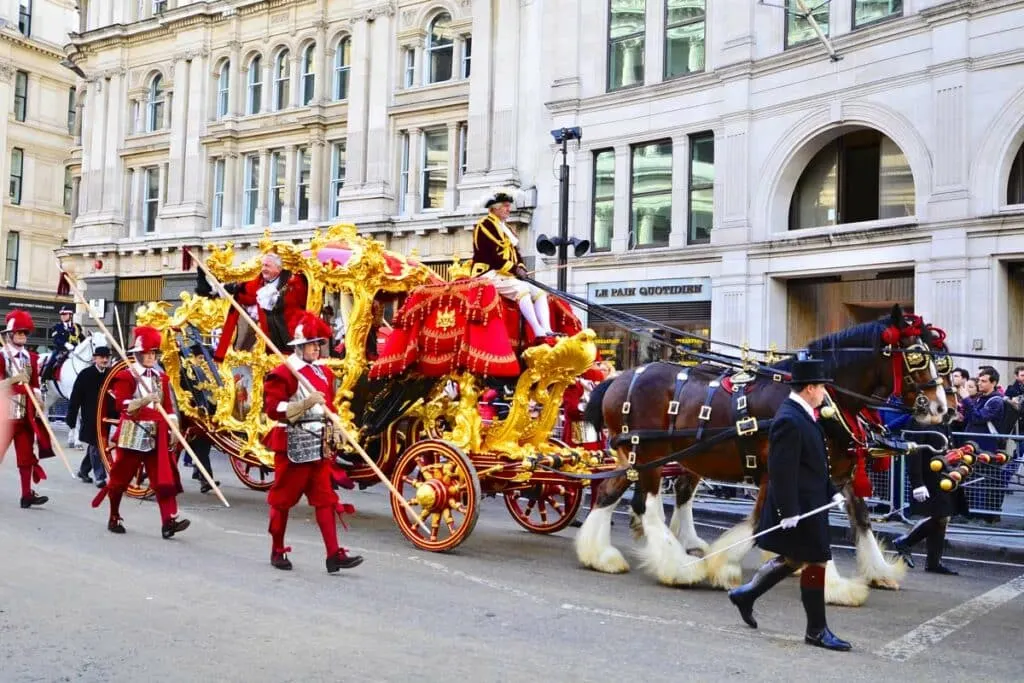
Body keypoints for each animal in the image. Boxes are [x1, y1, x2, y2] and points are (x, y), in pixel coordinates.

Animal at [577, 307, 942, 606]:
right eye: (916, 356)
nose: (941, 407)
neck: (822, 398)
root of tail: (619, 378)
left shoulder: (835, 472)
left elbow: (860, 517)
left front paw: (877, 572)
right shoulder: (780, 469)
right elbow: (763, 524)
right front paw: (725, 565)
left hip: (635, 458)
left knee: (609, 493)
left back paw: (599, 555)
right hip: (648, 455)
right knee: (648, 506)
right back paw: (680, 567)